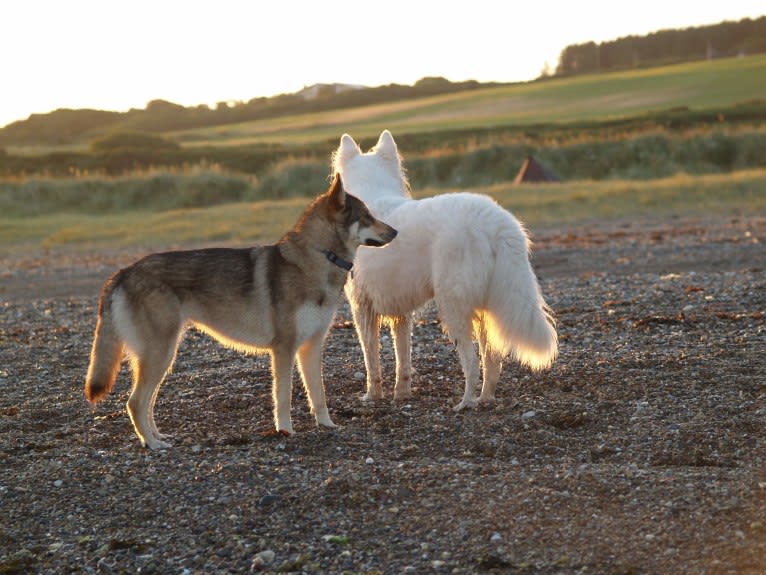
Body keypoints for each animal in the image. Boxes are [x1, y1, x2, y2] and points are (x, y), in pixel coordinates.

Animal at [85, 176, 400, 450]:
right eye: (367, 216)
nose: (395, 231)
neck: (319, 257)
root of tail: (123, 272)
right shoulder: (283, 350)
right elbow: (283, 397)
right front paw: (285, 431)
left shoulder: (311, 347)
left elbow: (319, 395)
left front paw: (327, 425)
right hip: (160, 355)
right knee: (135, 402)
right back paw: (152, 444)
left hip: (164, 357)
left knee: (146, 402)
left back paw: (157, 436)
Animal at [336, 130, 560, 410]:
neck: (372, 192)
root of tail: (497, 223)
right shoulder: (401, 314)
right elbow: (403, 358)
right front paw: (401, 394)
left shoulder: (362, 308)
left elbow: (371, 360)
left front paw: (372, 396)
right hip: (486, 309)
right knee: (492, 361)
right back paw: (485, 398)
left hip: (453, 306)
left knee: (472, 363)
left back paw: (465, 403)